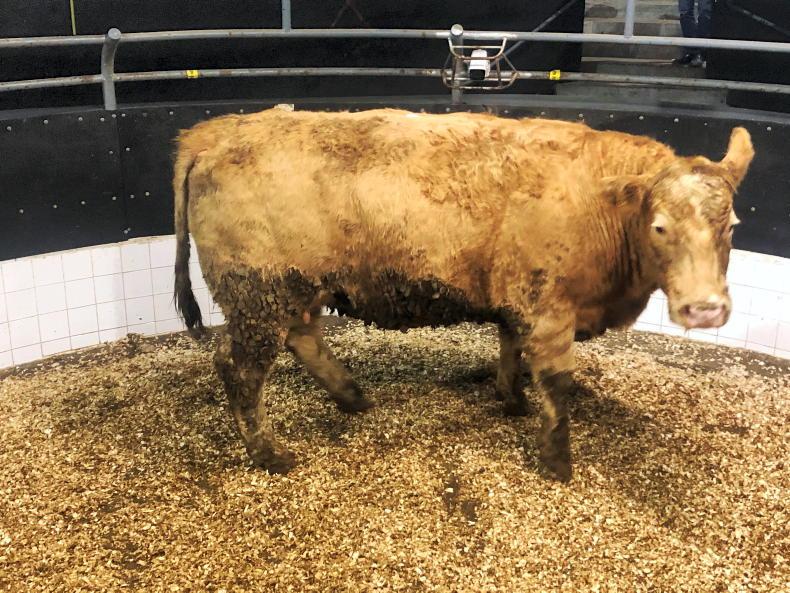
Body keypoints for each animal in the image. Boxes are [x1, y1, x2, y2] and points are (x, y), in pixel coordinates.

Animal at [172, 108, 753, 481]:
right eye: (659, 227)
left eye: (731, 226)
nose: (705, 308)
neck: (598, 202)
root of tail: (218, 131)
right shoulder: (549, 308)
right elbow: (557, 382)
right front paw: (557, 461)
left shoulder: (520, 300)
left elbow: (510, 348)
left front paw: (511, 400)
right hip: (257, 291)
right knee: (240, 367)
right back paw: (269, 454)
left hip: (293, 287)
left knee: (304, 338)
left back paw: (352, 396)